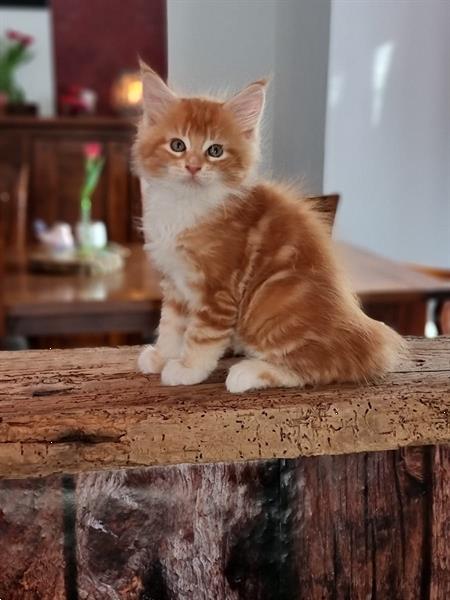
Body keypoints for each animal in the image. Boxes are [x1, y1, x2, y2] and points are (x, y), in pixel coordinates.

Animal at [134, 62, 404, 394]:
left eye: (215, 151)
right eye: (177, 145)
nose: (194, 167)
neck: (186, 204)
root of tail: (365, 343)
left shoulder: (217, 290)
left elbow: (200, 337)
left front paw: (186, 369)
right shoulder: (175, 283)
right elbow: (171, 326)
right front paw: (162, 356)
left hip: (273, 304)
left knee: (317, 367)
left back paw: (247, 372)